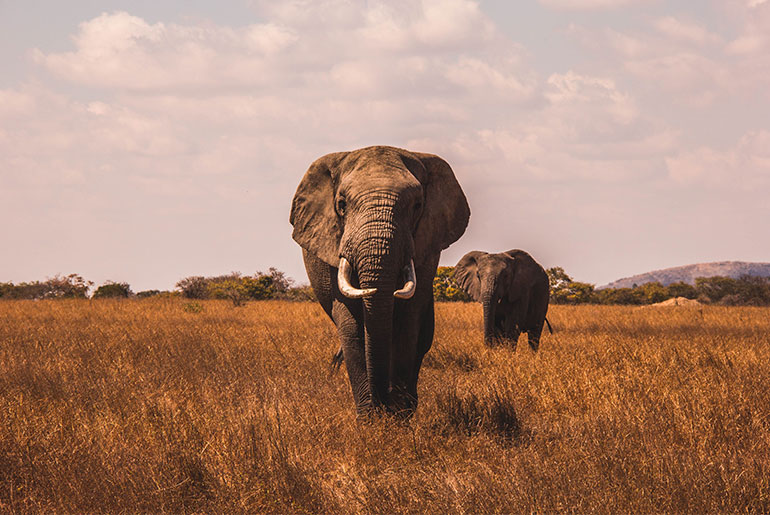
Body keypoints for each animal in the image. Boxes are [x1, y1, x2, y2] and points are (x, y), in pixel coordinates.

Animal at [288, 146, 468, 420]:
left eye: (417, 205)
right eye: (341, 205)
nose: (383, 406)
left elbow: (408, 322)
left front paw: (399, 417)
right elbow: (351, 324)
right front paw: (370, 420)